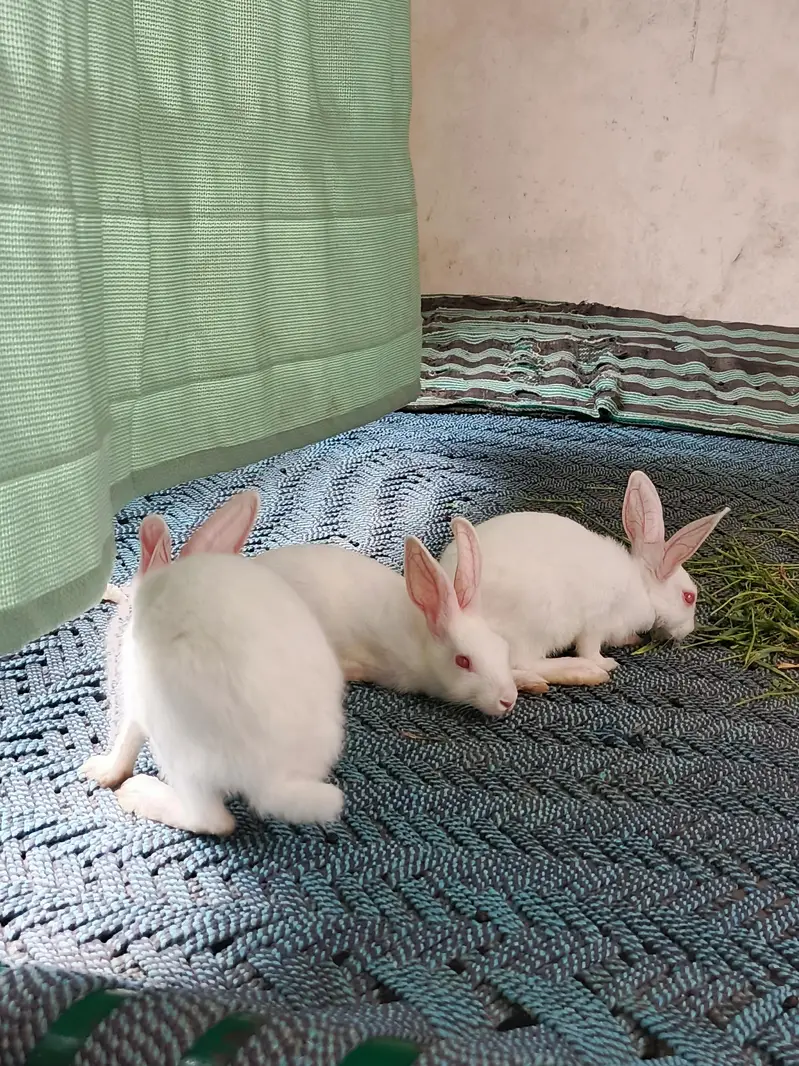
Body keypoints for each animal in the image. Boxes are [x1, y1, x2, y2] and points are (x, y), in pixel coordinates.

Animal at [82, 491, 346, 834]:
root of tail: (273, 779)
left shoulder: (135, 703)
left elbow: (125, 743)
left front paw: (99, 771)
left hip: (173, 737)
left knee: (212, 820)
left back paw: (137, 793)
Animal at [438, 471, 729, 689]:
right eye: (688, 597)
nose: (688, 630)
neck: (643, 590)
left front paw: (631, 640)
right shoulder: (595, 622)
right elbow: (590, 648)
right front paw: (605, 663)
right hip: (537, 624)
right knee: (524, 663)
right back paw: (583, 672)